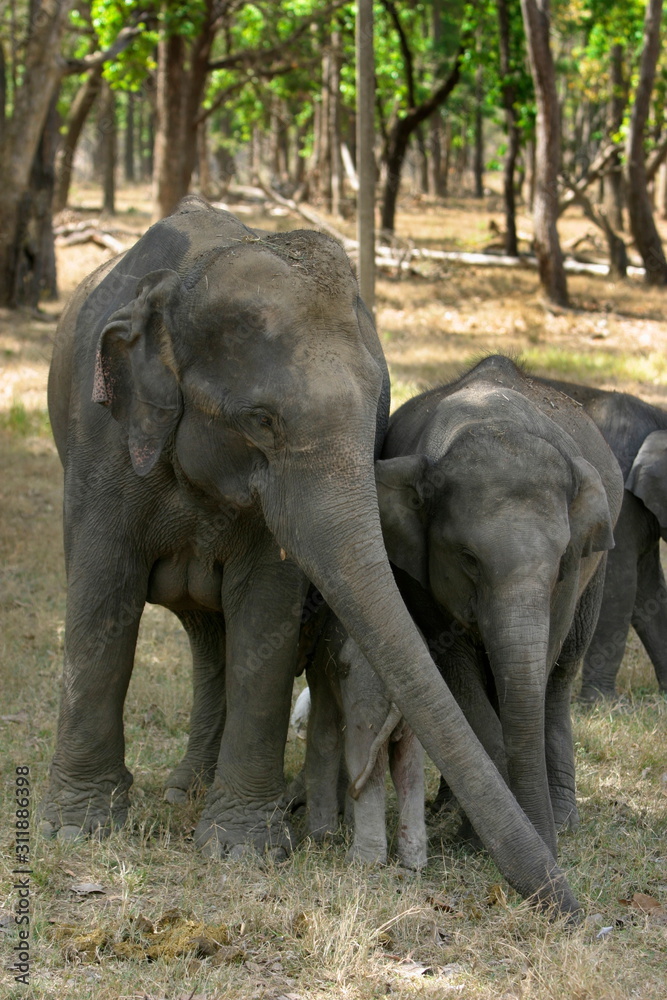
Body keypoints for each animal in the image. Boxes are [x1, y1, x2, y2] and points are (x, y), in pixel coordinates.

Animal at [302, 609, 428, 870]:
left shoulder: (320, 669)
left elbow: (324, 736)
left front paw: (319, 839)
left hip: (366, 699)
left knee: (363, 758)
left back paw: (362, 862)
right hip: (412, 711)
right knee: (408, 766)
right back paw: (414, 864)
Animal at [375, 355, 624, 859]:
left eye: (560, 562)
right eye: (468, 559)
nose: (551, 856)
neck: (490, 419)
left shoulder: (574, 572)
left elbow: (539, 664)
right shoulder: (417, 575)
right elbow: (457, 673)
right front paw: (476, 837)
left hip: (599, 564)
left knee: (561, 675)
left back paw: (563, 817)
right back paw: (452, 808)